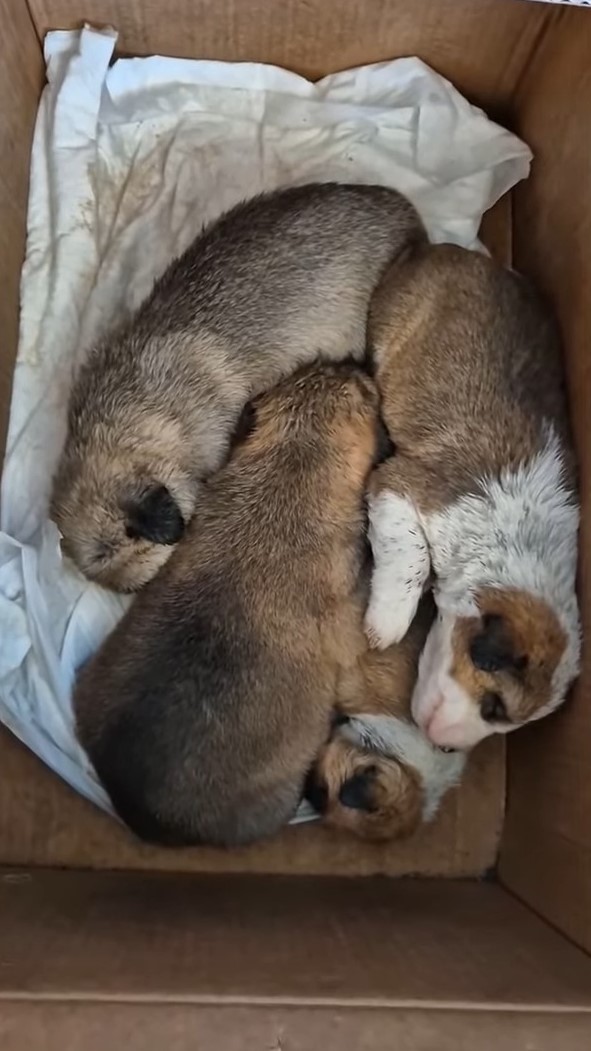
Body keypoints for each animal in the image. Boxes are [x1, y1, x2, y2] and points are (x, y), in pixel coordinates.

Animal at [361, 241, 576, 752]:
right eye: (493, 705)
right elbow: (411, 557)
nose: (447, 749)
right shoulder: (401, 485)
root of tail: (443, 247)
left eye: (499, 719)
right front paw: (387, 623)